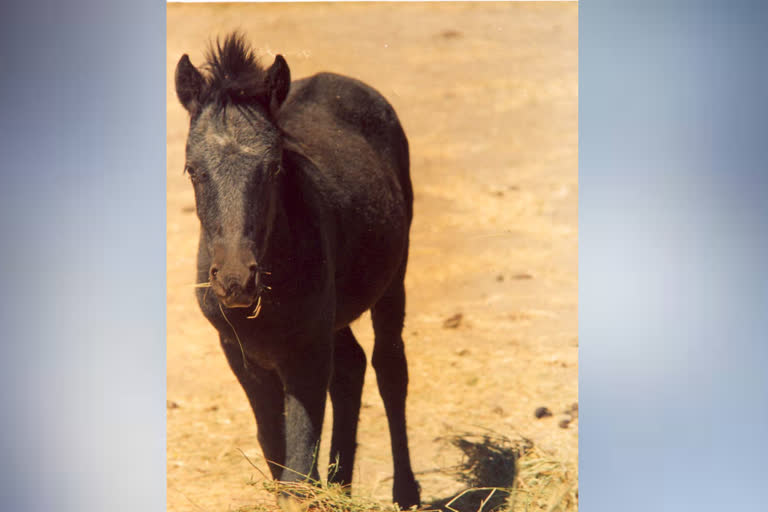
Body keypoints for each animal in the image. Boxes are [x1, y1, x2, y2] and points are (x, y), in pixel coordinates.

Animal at [175, 34, 420, 510]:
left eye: (273, 167)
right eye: (192, 170)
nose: (235, 281)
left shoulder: (305, 354)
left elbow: (299, 468)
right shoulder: (242, 355)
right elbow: (275, 452)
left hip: (391, 281)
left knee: (389, 368)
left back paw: (406, 492)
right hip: (332, 318)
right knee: (351, 367)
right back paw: (341, 488)